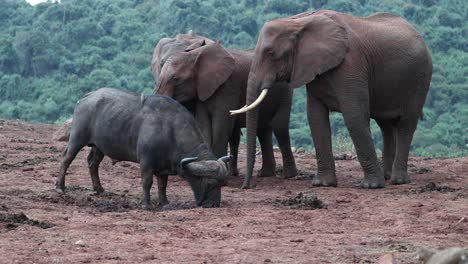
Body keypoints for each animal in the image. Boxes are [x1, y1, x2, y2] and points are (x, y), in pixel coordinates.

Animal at [154, 37, 298, 179]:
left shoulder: (228, 87)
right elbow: (204, 125)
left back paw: (289, 176)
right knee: (262, 131)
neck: (196, 55)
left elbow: (220, 127)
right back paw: (264, 174)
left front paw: (219, 173)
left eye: (176, 79)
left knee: (279, 127)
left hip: (285, 92)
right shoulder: (202, 89)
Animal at [232, 9, 434, 188]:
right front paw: (323, 184)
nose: (246, 186)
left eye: (271, 53)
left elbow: (354, 116)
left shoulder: (352, 64)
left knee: (406, 123)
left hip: (421, 78)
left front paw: (372, 186)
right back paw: (387, 175)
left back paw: (397, 180)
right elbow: (315, 117)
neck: (300, 21)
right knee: (385, 125)